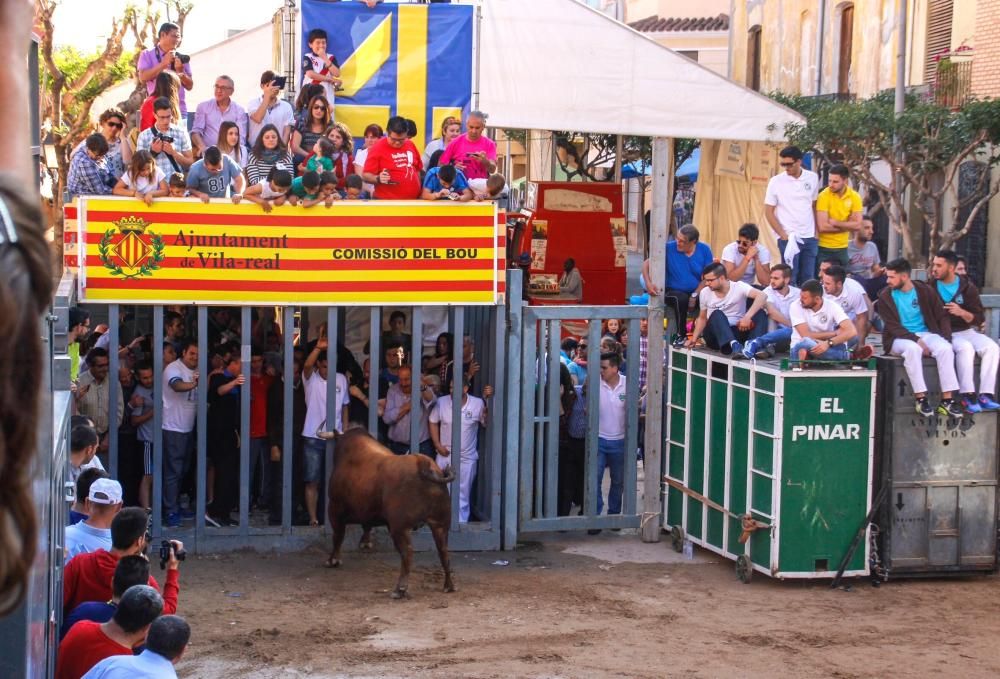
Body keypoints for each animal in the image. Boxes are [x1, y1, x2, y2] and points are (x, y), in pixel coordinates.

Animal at [324, 430, 458, 600]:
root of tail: (423, 463)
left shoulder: (334, 508)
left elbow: (338, 536)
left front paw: (333, 560)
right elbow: (365, 526)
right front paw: (365, 543)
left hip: (399, 528)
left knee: (407, 553)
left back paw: (400, 589)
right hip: (440, 524)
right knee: (444, 552)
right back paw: (448, 585)